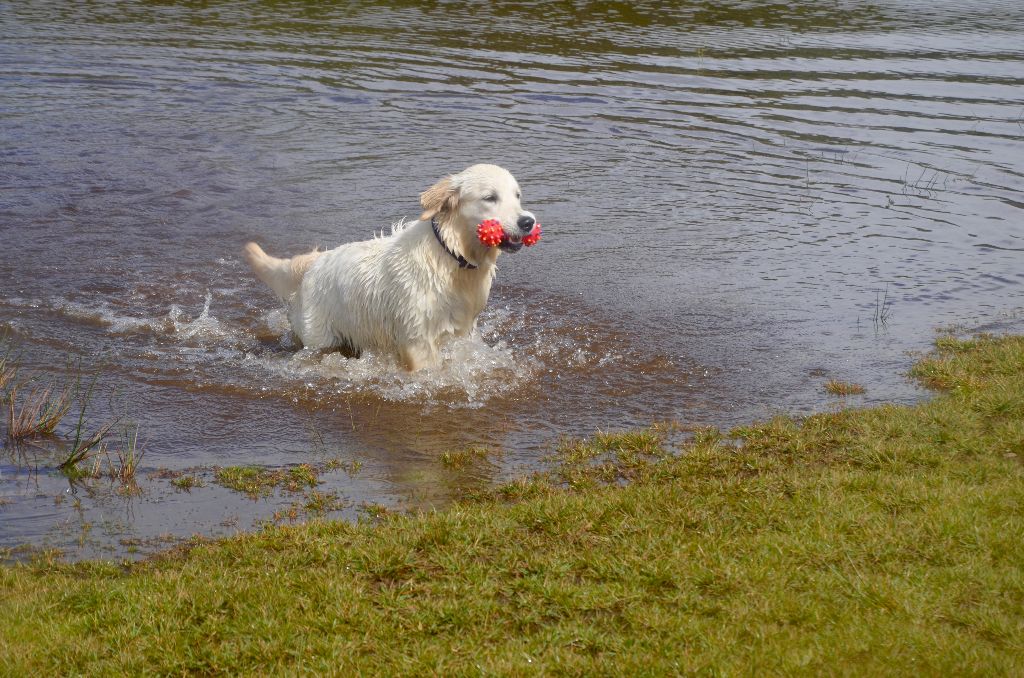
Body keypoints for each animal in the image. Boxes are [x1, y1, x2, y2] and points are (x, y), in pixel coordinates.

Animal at [243, 163, 540, 372]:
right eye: (490, 197)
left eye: (517, 196)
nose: (528, 221)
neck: (451, 256)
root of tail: (315, 262)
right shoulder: (416, 338)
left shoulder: (461, 332)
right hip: (320, 337)